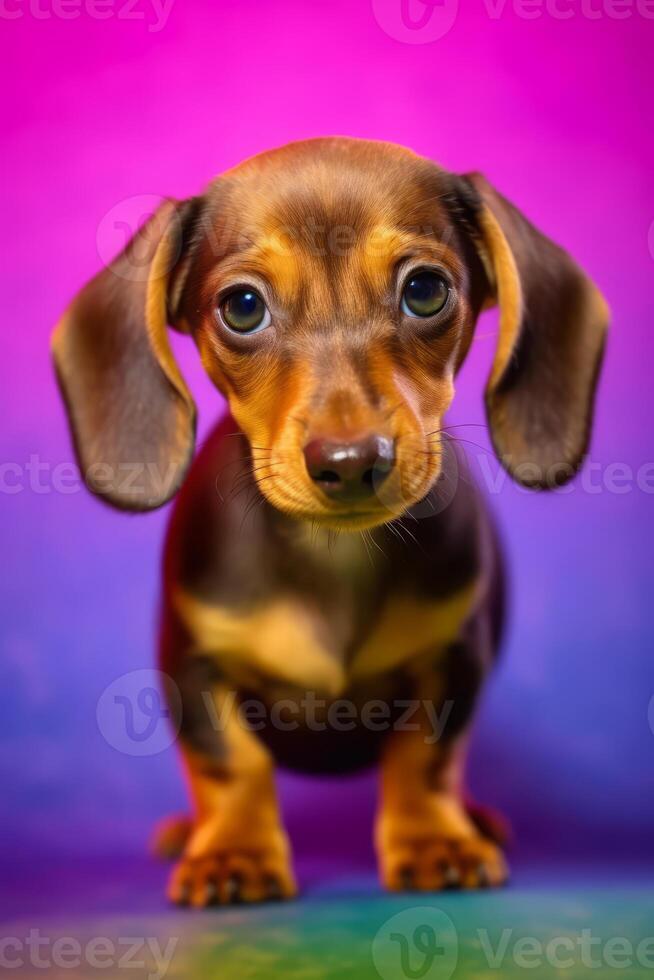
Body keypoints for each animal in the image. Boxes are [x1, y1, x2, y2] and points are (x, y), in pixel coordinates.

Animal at [51, 136, 608, 904]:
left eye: (425, 290)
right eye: (242, 306)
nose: (350, 462)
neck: (335, 557)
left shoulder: (453, 657)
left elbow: (424, 759)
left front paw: (432, 840)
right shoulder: (194, 665)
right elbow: (232, 765)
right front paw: (233, 853)